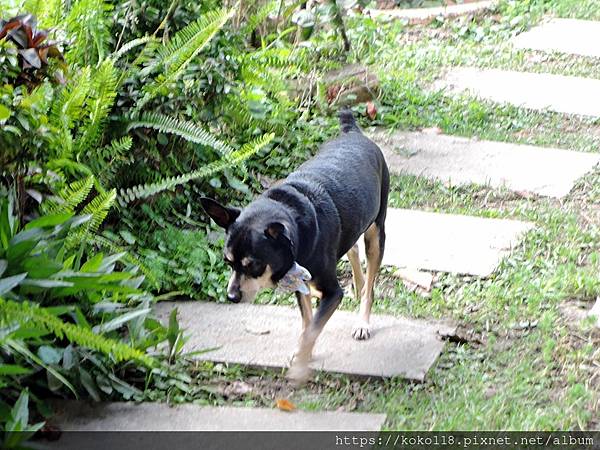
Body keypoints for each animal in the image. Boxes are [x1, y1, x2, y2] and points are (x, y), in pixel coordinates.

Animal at [202, 110, 390, 382]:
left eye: (254, 265)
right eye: (227, 262)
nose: (232, 297)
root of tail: (352, 132)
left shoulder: (333, 293)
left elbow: (313, 328)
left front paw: (301, 364)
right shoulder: (300, 284)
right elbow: (307, 322)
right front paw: (304, 352)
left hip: (376, 232)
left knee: (371, 284)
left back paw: (362, 320)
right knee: (352, 248)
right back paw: (358, 283)